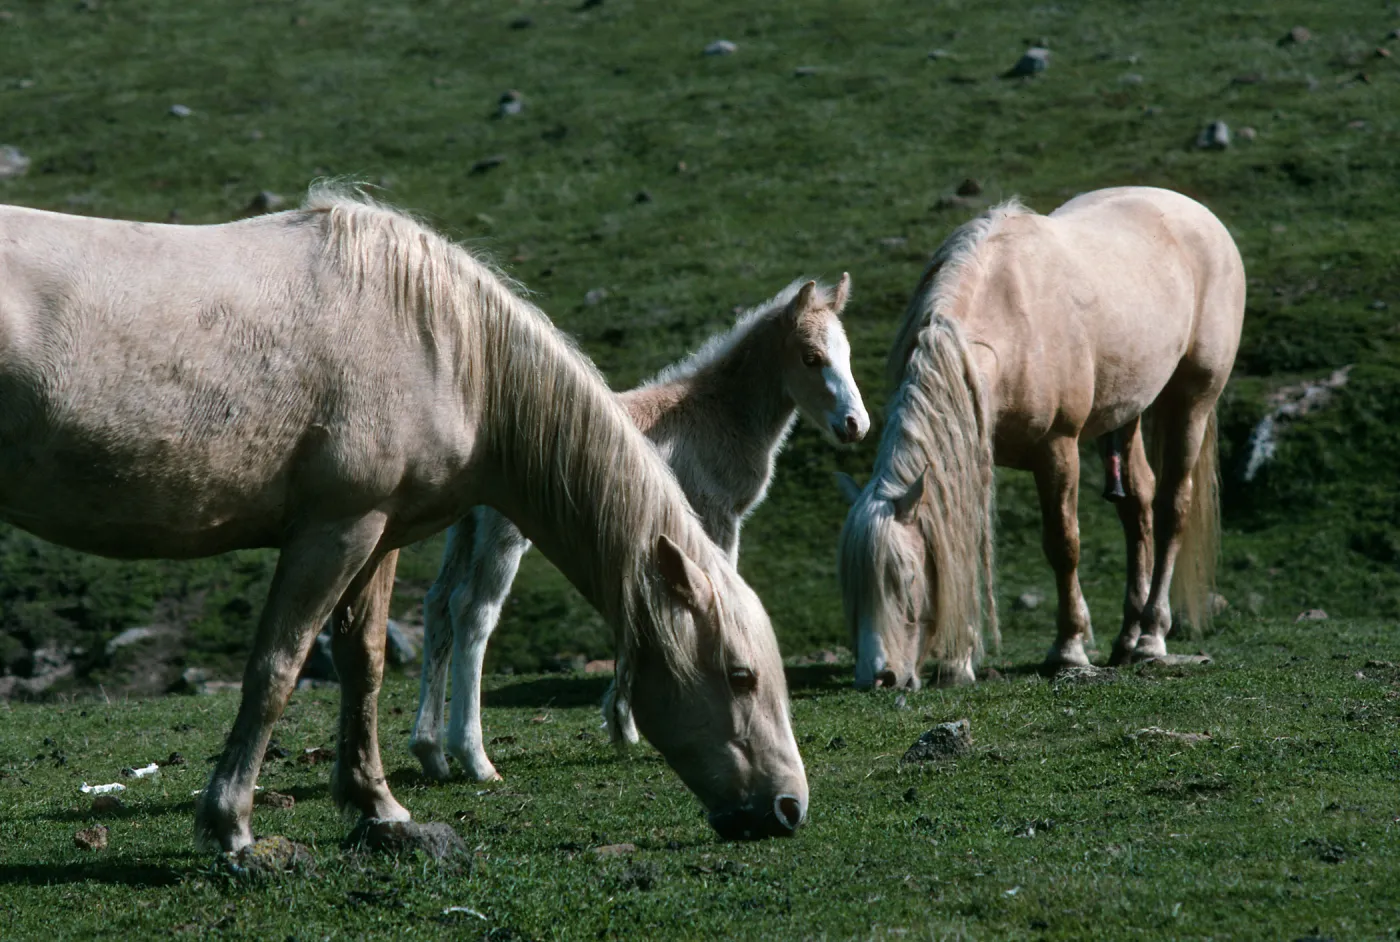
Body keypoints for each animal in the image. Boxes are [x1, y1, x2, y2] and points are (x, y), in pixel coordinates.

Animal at [0, 188, 808, 848]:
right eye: (740, 675)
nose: (788, 808)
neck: (447, 347)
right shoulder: (335, 530)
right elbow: (277, 667)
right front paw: (229, 824)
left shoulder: (378, 534)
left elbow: (365, 664)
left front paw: (375, 803)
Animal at [409, 276, 870, 782]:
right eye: (811, 357)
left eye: (847, 352)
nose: (855, 425)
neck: (717, 414)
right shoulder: (717, 520)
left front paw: (622, 721)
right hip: (504, 535)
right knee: (473, 612)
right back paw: (475, 758)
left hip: (465, 529)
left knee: (437, 604)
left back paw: (430, 751)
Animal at [836, 187, 1245, 688]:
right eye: (852, 588)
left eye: (907, 580)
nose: (877, 678)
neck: (1008, 319)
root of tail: (1199, 214)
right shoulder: (972, 452)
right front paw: (958, 664)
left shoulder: (1057, 448)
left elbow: (1063, 545)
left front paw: (1069, 649)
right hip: (1126, 410)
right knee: (1138, 506)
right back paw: (1128, 638)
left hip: (1192, 402)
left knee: (1172, 508)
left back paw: (1151, 636)